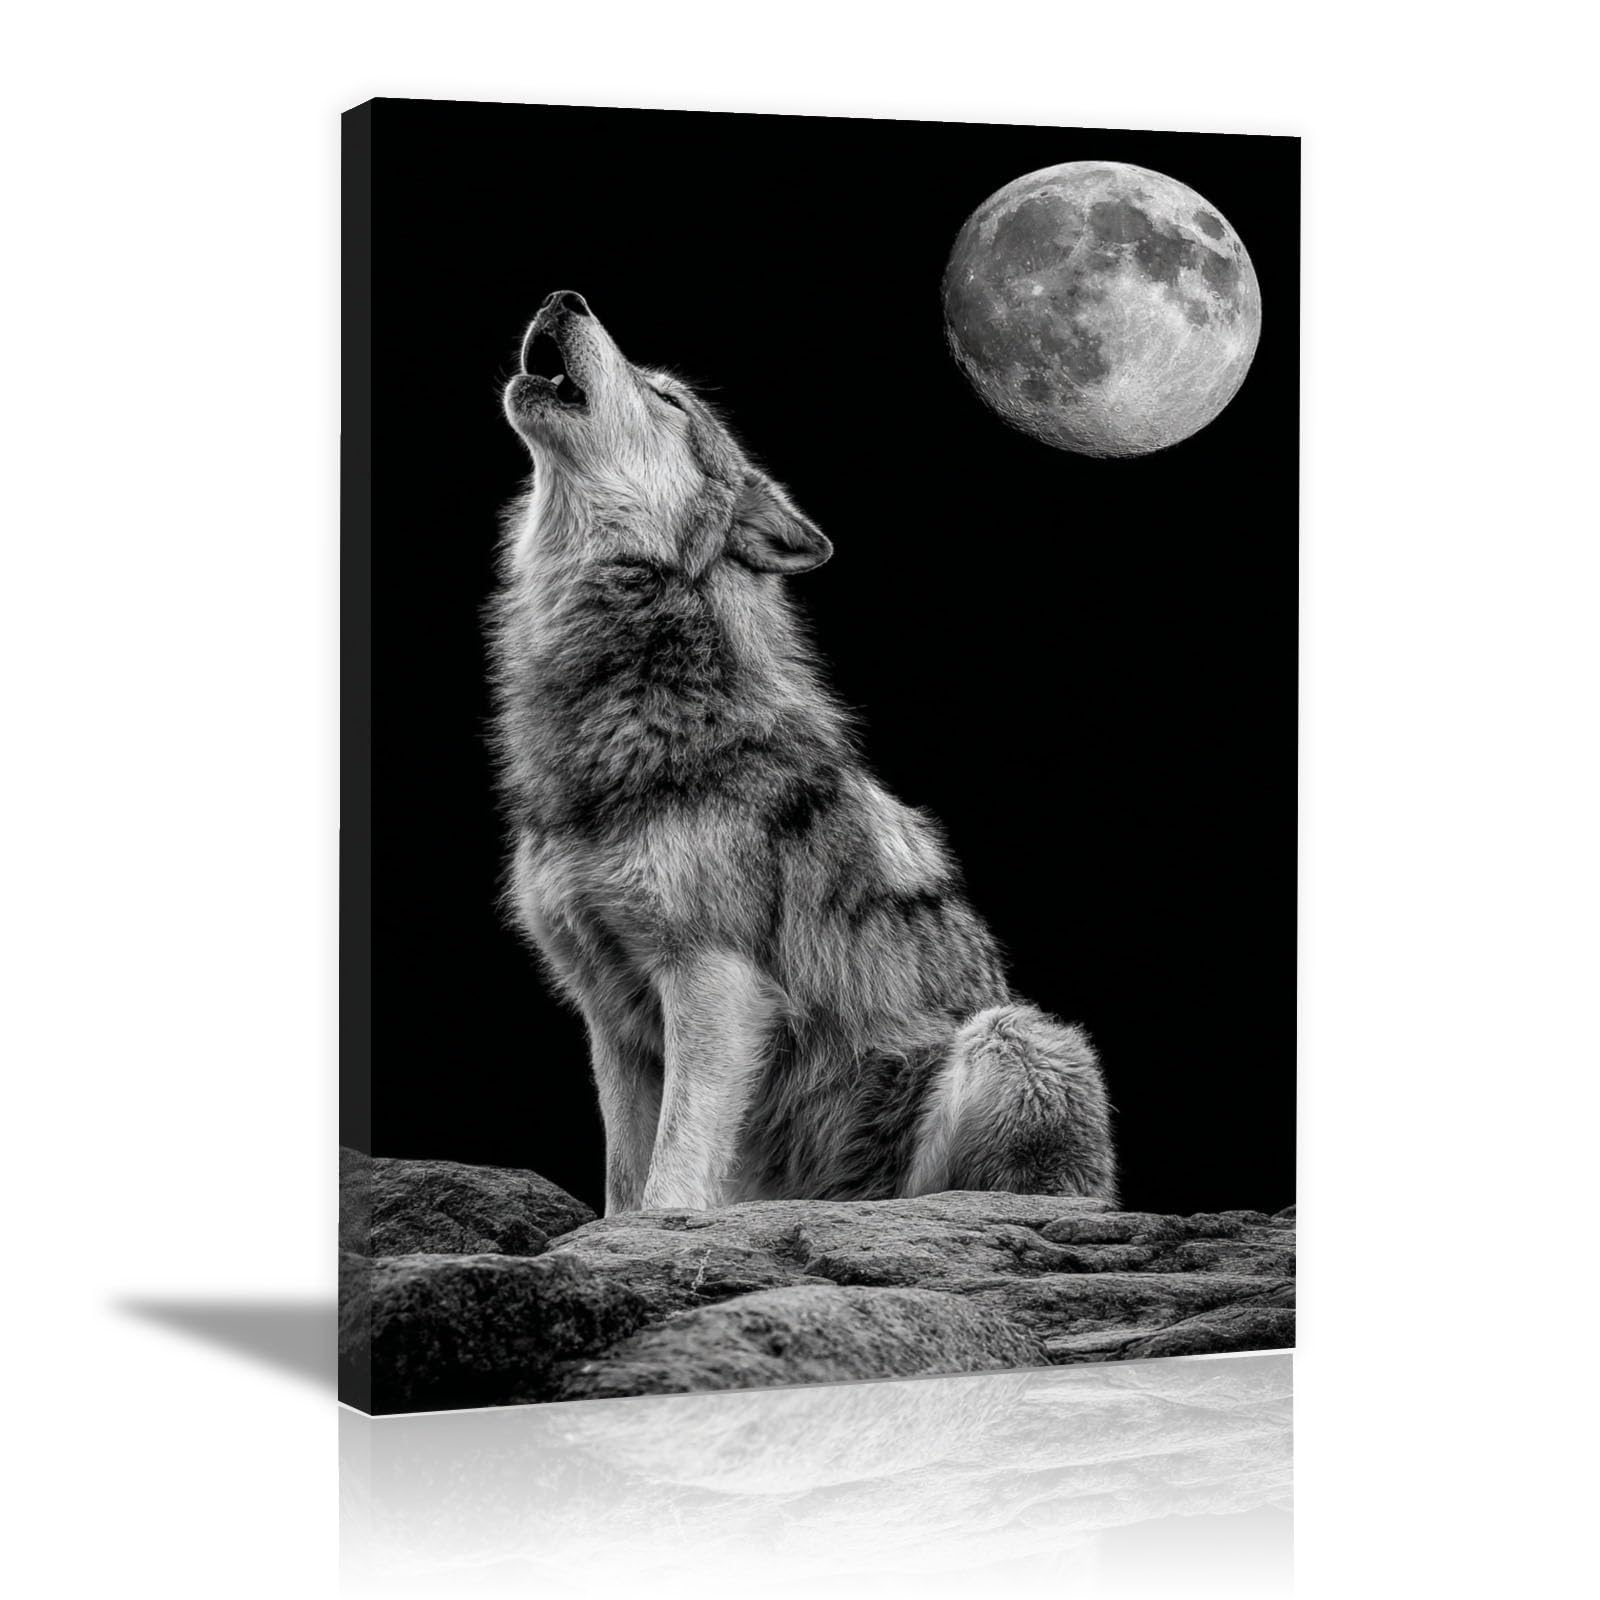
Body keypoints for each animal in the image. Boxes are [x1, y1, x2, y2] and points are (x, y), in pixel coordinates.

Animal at [493, 290, 1116, 1216]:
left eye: (667, 396)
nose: (564, 297)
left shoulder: (714, 983)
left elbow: (671, 1171)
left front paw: (665, 1226)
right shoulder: (608, 1013)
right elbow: (622, 1178)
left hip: (1012, 1038)